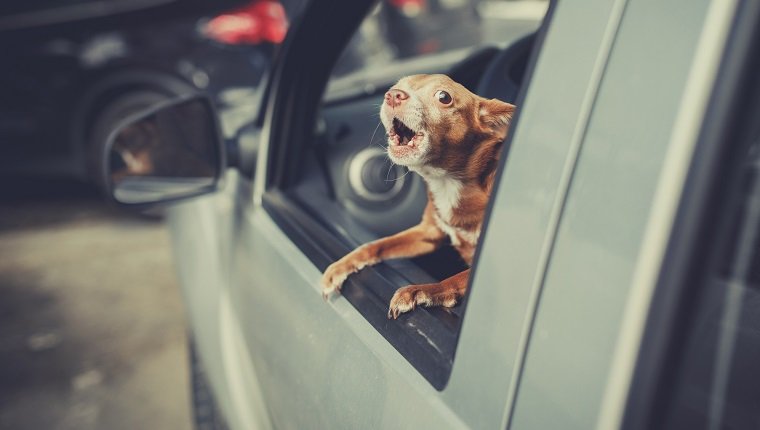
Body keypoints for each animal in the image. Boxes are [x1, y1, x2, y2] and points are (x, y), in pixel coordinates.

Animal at [320, 73, 516, 320]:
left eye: (444, 97)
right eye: (398, 86)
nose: (393, 94)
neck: (448, 182)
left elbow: (458, 277)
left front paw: (422, 291)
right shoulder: (427, 233)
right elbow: (377, 245)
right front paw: (341, 266)